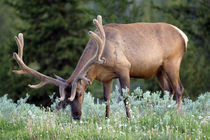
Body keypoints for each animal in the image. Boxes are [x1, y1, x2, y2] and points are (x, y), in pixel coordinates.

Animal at [12, 15, 189, 119]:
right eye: (65, 99)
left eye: (80, 93)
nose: (76, 115)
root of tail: (183, 36)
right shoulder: (106, 78)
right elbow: (106, 100)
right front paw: (107, 120)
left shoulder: (124, 68)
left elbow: (125, 97)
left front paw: (129, 120)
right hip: (159, 70)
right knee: (168, 91)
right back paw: (165, 112)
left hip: (172, 62)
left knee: (179, 89)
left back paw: (176, 115)